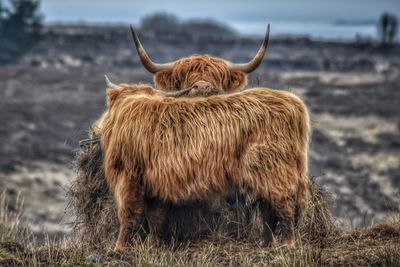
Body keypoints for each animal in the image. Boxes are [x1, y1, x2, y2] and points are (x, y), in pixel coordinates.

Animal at [101, 82, 312, 250]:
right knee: (268, 209)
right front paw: (152, 246)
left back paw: (288, 244)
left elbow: (128, 214)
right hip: (264, 174)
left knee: (284, 204)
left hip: (274, 169)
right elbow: (156, 217)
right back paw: (266, 244)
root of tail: (293, 103)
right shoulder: (155, 182)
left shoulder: (128, 176)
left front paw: (119, 248)